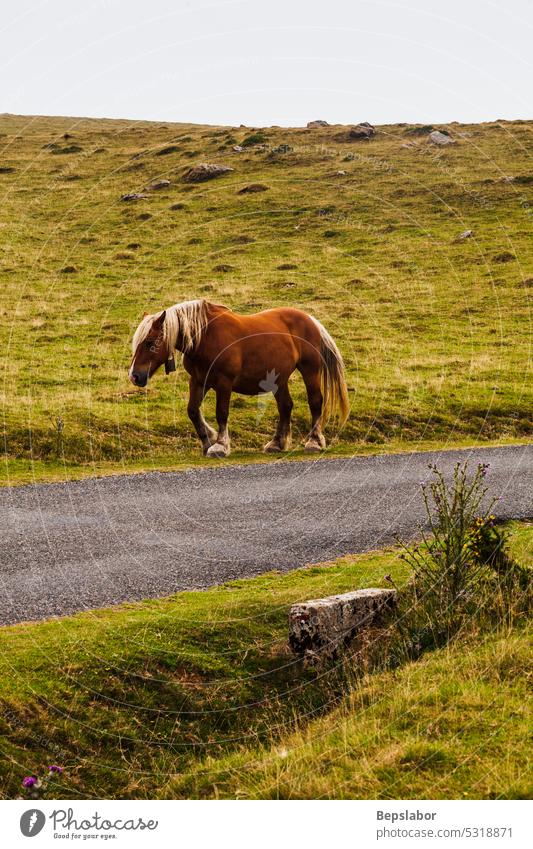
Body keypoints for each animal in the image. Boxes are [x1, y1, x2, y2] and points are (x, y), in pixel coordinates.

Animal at [130, 300, 350, 458]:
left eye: (150, 343)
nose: (135, 376)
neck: (205, 338)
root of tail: (311, 320)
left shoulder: (224, 383)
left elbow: (221, 413)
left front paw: (220, 445)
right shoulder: (198, 381)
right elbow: (193, 411)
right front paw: (207, 441)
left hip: (309, 371)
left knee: (315, 402)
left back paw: (314, 442)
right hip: (278, 379)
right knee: (286, 406)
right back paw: (277, 443)